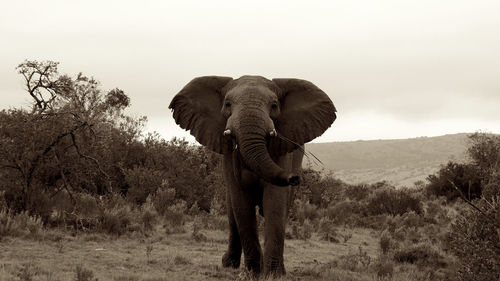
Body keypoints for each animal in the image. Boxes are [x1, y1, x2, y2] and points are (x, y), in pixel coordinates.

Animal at [168, 75, 336, 276]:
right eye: (227, 104)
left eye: (274, 105)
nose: (294, 178)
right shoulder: (230, 158)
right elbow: (241, 204)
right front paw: (254, 273)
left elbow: (275, 202)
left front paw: (273, 274)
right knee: (232, 212)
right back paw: (229, 264)